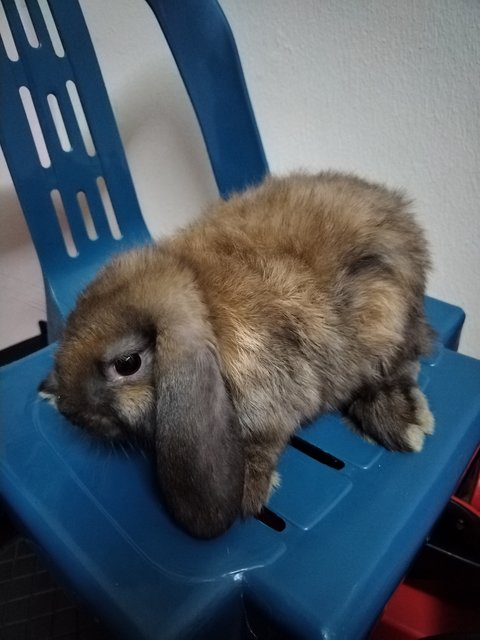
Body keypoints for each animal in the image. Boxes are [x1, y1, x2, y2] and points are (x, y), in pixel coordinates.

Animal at [39, 170, 434, 536]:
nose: (69, 411)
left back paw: (402, 421)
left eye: (127, 364)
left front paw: (248, 492)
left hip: (384, 311)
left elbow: (267, 439)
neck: (205, 301)